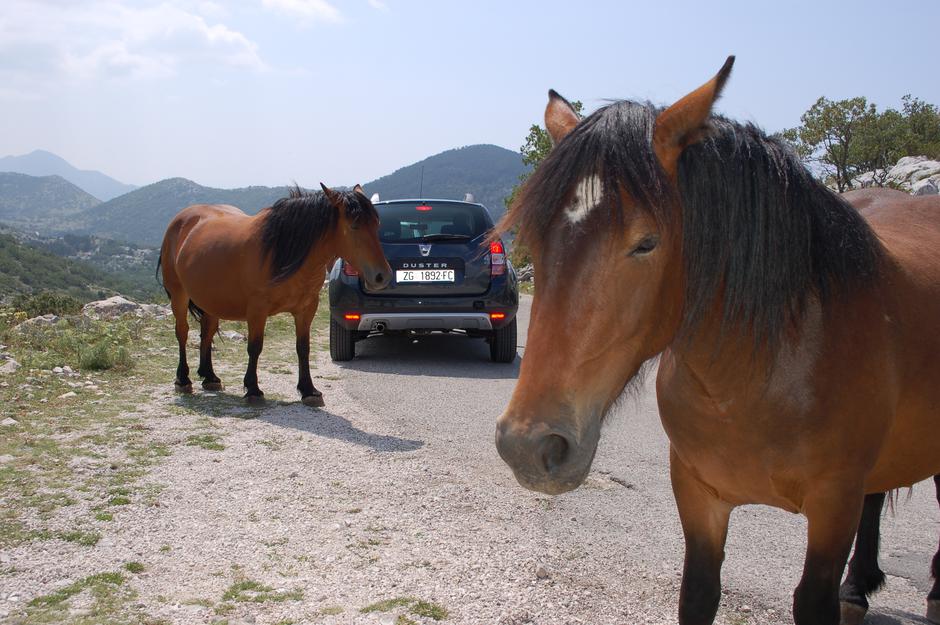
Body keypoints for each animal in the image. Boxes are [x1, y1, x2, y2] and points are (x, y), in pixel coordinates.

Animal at [158, 183, 390, 404]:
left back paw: (209, 377)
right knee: (182, 332)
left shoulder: (307, 309)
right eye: (354, 226)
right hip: (179, 295)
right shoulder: (257, 310)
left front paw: (308, 390)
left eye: (376, 224)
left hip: (211, 301)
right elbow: (255, 347)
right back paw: (183, 380)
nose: (382, 276)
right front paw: (253, 389)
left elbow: (303, 348)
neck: (281, 251)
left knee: (207, 332)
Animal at [492, 54, 940, 624]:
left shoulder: (833, 504)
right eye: (536, 238)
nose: (528, 446)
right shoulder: (697, 494)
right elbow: (699, 593)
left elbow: (813, 596)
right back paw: (857, 589)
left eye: (646, 243)